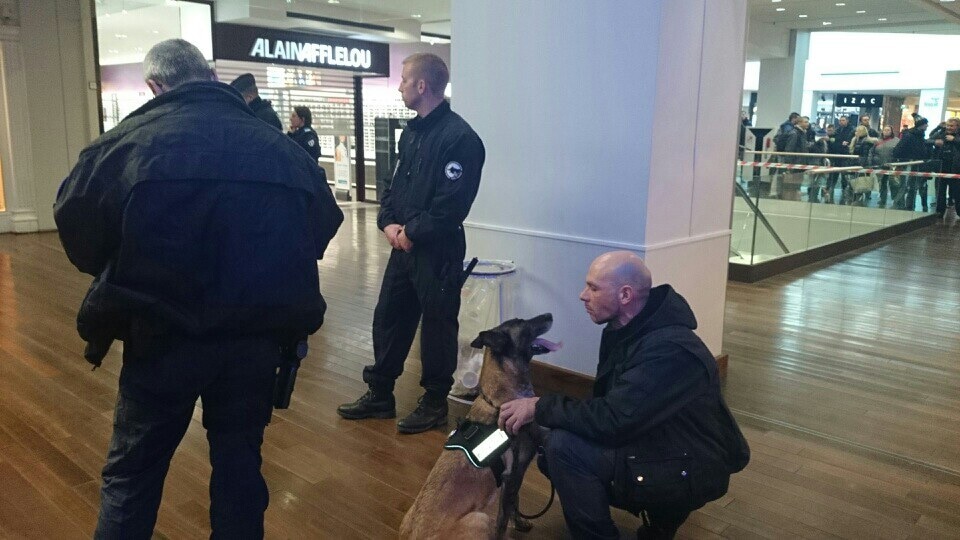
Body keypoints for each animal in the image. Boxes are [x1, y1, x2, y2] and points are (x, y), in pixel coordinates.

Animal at [402, 314, 560, 536]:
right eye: (523, 323)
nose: (550, 315)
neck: (501, 400)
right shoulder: (514, 475)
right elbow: (504, 517)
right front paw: (514, 525)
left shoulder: (513, 475)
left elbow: (516, 501)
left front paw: (520, 522)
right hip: (480, 518)